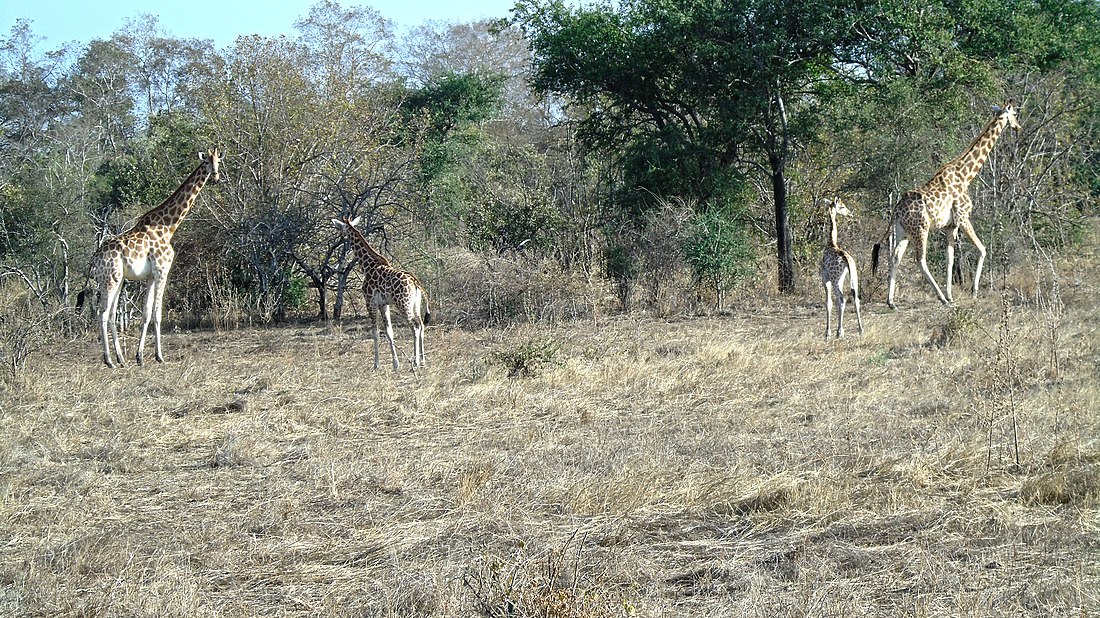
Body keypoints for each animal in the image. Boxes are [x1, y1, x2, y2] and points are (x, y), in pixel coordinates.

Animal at [89, 148, 221, 365]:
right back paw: (109, 361)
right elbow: (157, 314)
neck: (168, 228)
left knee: (112, 315)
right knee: (103, 313)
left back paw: (121, 359)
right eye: (206, 162)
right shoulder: (161, 270)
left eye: (218, 161)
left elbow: (146, 314)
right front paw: (159, 356)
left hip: (117, 279)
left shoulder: (150, 276)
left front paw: (140, 357)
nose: (216, 177)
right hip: (110, 278)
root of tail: (95, 258)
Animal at [330, 215, 429, 369]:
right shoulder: (384, 304)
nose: (340, 238)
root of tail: (415, 282)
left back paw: (415, 362)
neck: (367, 265)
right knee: (422, 325)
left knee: (415, 326)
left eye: (340, 228)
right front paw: (395, 364)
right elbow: (389, 332)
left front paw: (376, 364)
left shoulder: (370, 302)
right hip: (415, 304)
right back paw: (423, 360)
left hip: (403, 304)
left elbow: (375, 332)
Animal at [822, 196, 862, 338]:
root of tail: (846, 260)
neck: (831, 243)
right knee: (856, 298)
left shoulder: (825, 278)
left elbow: (829, 303)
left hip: (835, 279)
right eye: (842, 206)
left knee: (841, 299)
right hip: (854, 276)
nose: (850, 213)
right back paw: (861, 329)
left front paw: (828, 332)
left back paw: (840, 332)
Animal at [875, 100, 1020, 307]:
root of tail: (896, 210)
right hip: (921, 228)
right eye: (1015, 114)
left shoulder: (951, 226)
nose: (1018, 127)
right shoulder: (963, 217)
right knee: (920, 259)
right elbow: (982, 249)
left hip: (903, 230)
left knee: (895, 257)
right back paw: (941, 298)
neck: (966, 175)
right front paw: (973, 292)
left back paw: (891, 301)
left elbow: (950, 259)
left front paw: (952, 294)